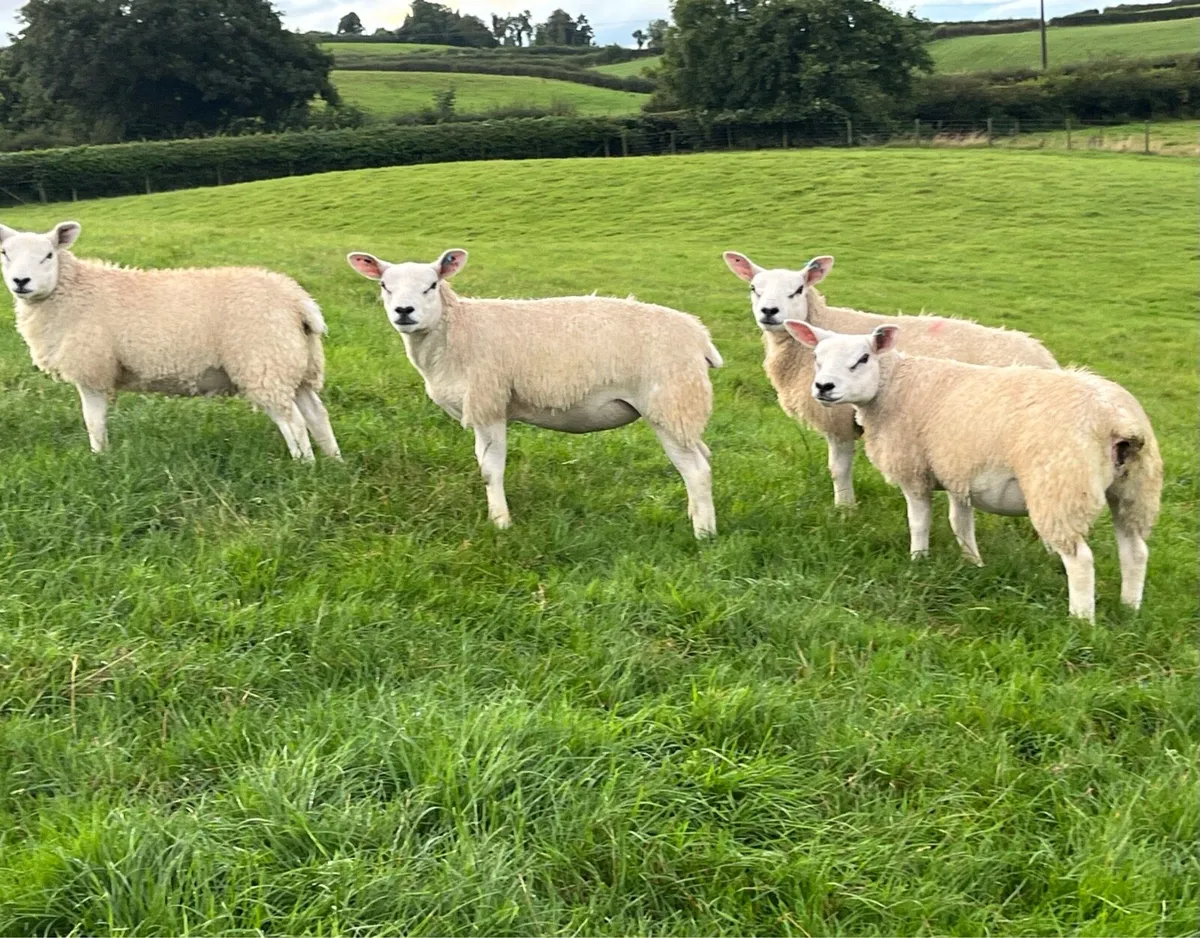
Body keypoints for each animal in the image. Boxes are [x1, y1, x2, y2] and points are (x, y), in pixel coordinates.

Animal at [0, 220, 339, 460]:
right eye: (5, 254)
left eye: (48, 255)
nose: (21, 281)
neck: (72, 292)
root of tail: (297, 300)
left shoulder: (92, 369)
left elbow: (93, 422)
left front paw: (99, 459)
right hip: (296, 363)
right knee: (316, 414)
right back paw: (334, 462)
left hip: (264, 362)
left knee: (294, 422)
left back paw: (304, 465)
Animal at [347, 248, 722, 537]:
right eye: (384, 285)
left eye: (432, 285)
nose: (404, 312)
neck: (456, 330)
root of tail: (699, 335)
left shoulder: (488, 403)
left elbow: (490, 470)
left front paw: (500, 523)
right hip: (682, 407)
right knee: (702, 458)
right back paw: (694, 514)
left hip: (670, 402)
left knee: (696, 470)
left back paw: (704, 533)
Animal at [723, 251, 1057, 508]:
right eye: (753, 288)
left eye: (798, 290)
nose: (769, 311)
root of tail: (1045, 358)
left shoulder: (839, 421)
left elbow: (838, 469)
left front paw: (845, 509)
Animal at [787, 321, 1163, 621]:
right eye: (817, 357)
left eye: (863, 359)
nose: (823, 387)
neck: (896, 387)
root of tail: (1117, 419)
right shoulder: (959, 472)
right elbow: (960, 523)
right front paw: (972, 563)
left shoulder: (914, 470)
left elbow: (919, 522)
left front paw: (918, 561)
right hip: (1135, 490)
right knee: (1135, 551)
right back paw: (1130, 608)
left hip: (1061, 487)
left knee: (1081, 560)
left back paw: (1082, 619)